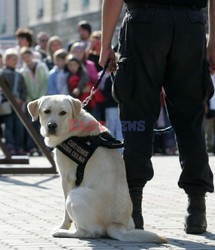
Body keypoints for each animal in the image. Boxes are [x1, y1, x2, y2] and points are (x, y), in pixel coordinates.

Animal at [27, 95, 166, 242]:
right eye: (46, 111)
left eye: (63, 113)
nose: (51, 125)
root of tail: (116, 224)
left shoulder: (67, 178)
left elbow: (67, 214)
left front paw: (63, 226)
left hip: (74, 196)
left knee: (86, 233)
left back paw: (62, 232)